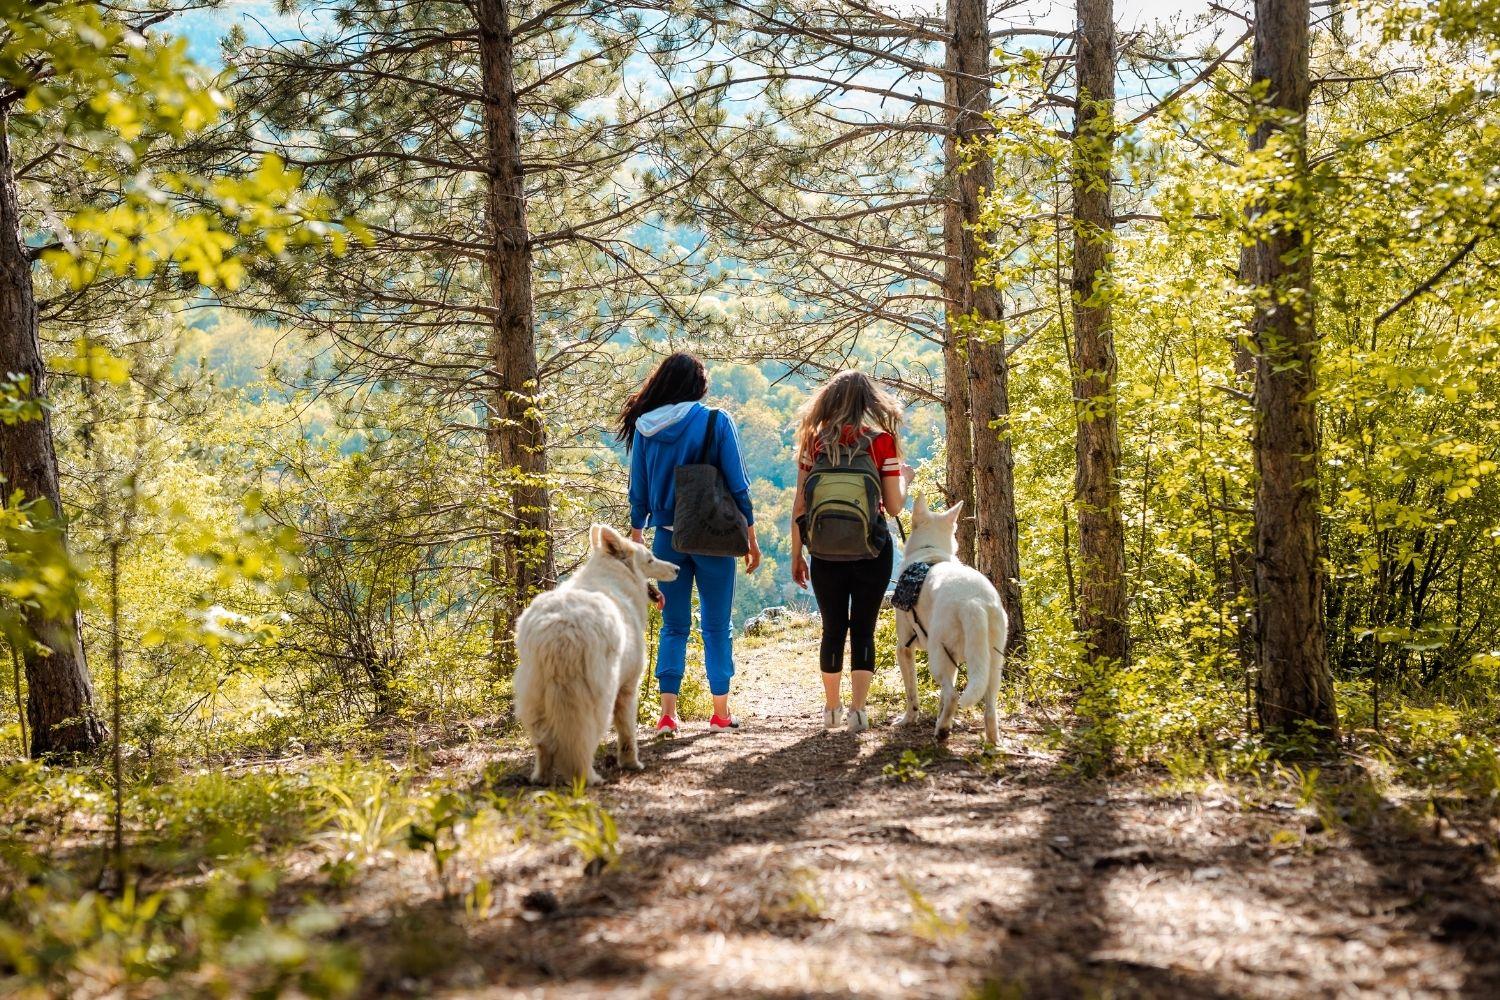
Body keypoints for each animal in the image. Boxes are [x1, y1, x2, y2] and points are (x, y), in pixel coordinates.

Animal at [516, 521, 681, 785]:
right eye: (651, 559)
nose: (677, 568)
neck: (614, 576)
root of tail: (560, 630)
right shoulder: (628, 689)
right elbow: (627, 733)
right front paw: (631, 763)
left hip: (534, 698)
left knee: (543, 746)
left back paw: (541, 778)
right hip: (599, 698)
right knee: (582, 742)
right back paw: (589, 778)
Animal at [894, 497, 1014, 746]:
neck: (929, 550)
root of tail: (974, 600)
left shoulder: (904, 648)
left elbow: (912, 693)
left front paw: (908, 719)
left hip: (937, 656)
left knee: (952, 695)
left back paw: (942, 732)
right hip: (993, 663)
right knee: (989, 707)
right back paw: (991, 741)